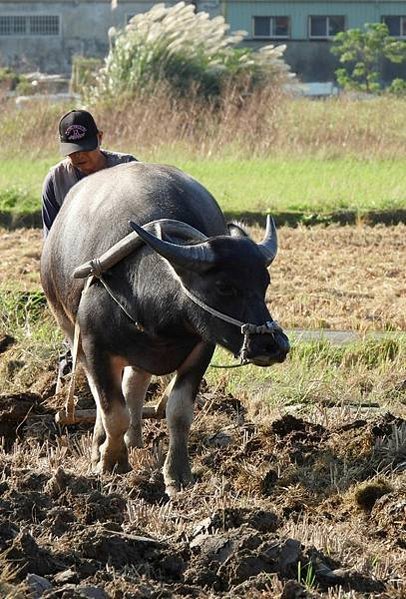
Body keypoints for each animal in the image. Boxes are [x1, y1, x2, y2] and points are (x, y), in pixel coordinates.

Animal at [41, 162, 288, 494]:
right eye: (224, 286)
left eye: (265, 283)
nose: (272, 345)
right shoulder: (95, 347)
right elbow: (112, 411)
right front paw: (111, 462)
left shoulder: (201, 349)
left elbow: (179, 411)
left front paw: (177, 473)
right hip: (69, 328)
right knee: (100, 392)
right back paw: (99, 444)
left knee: (134, 383)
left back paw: (134, 439)